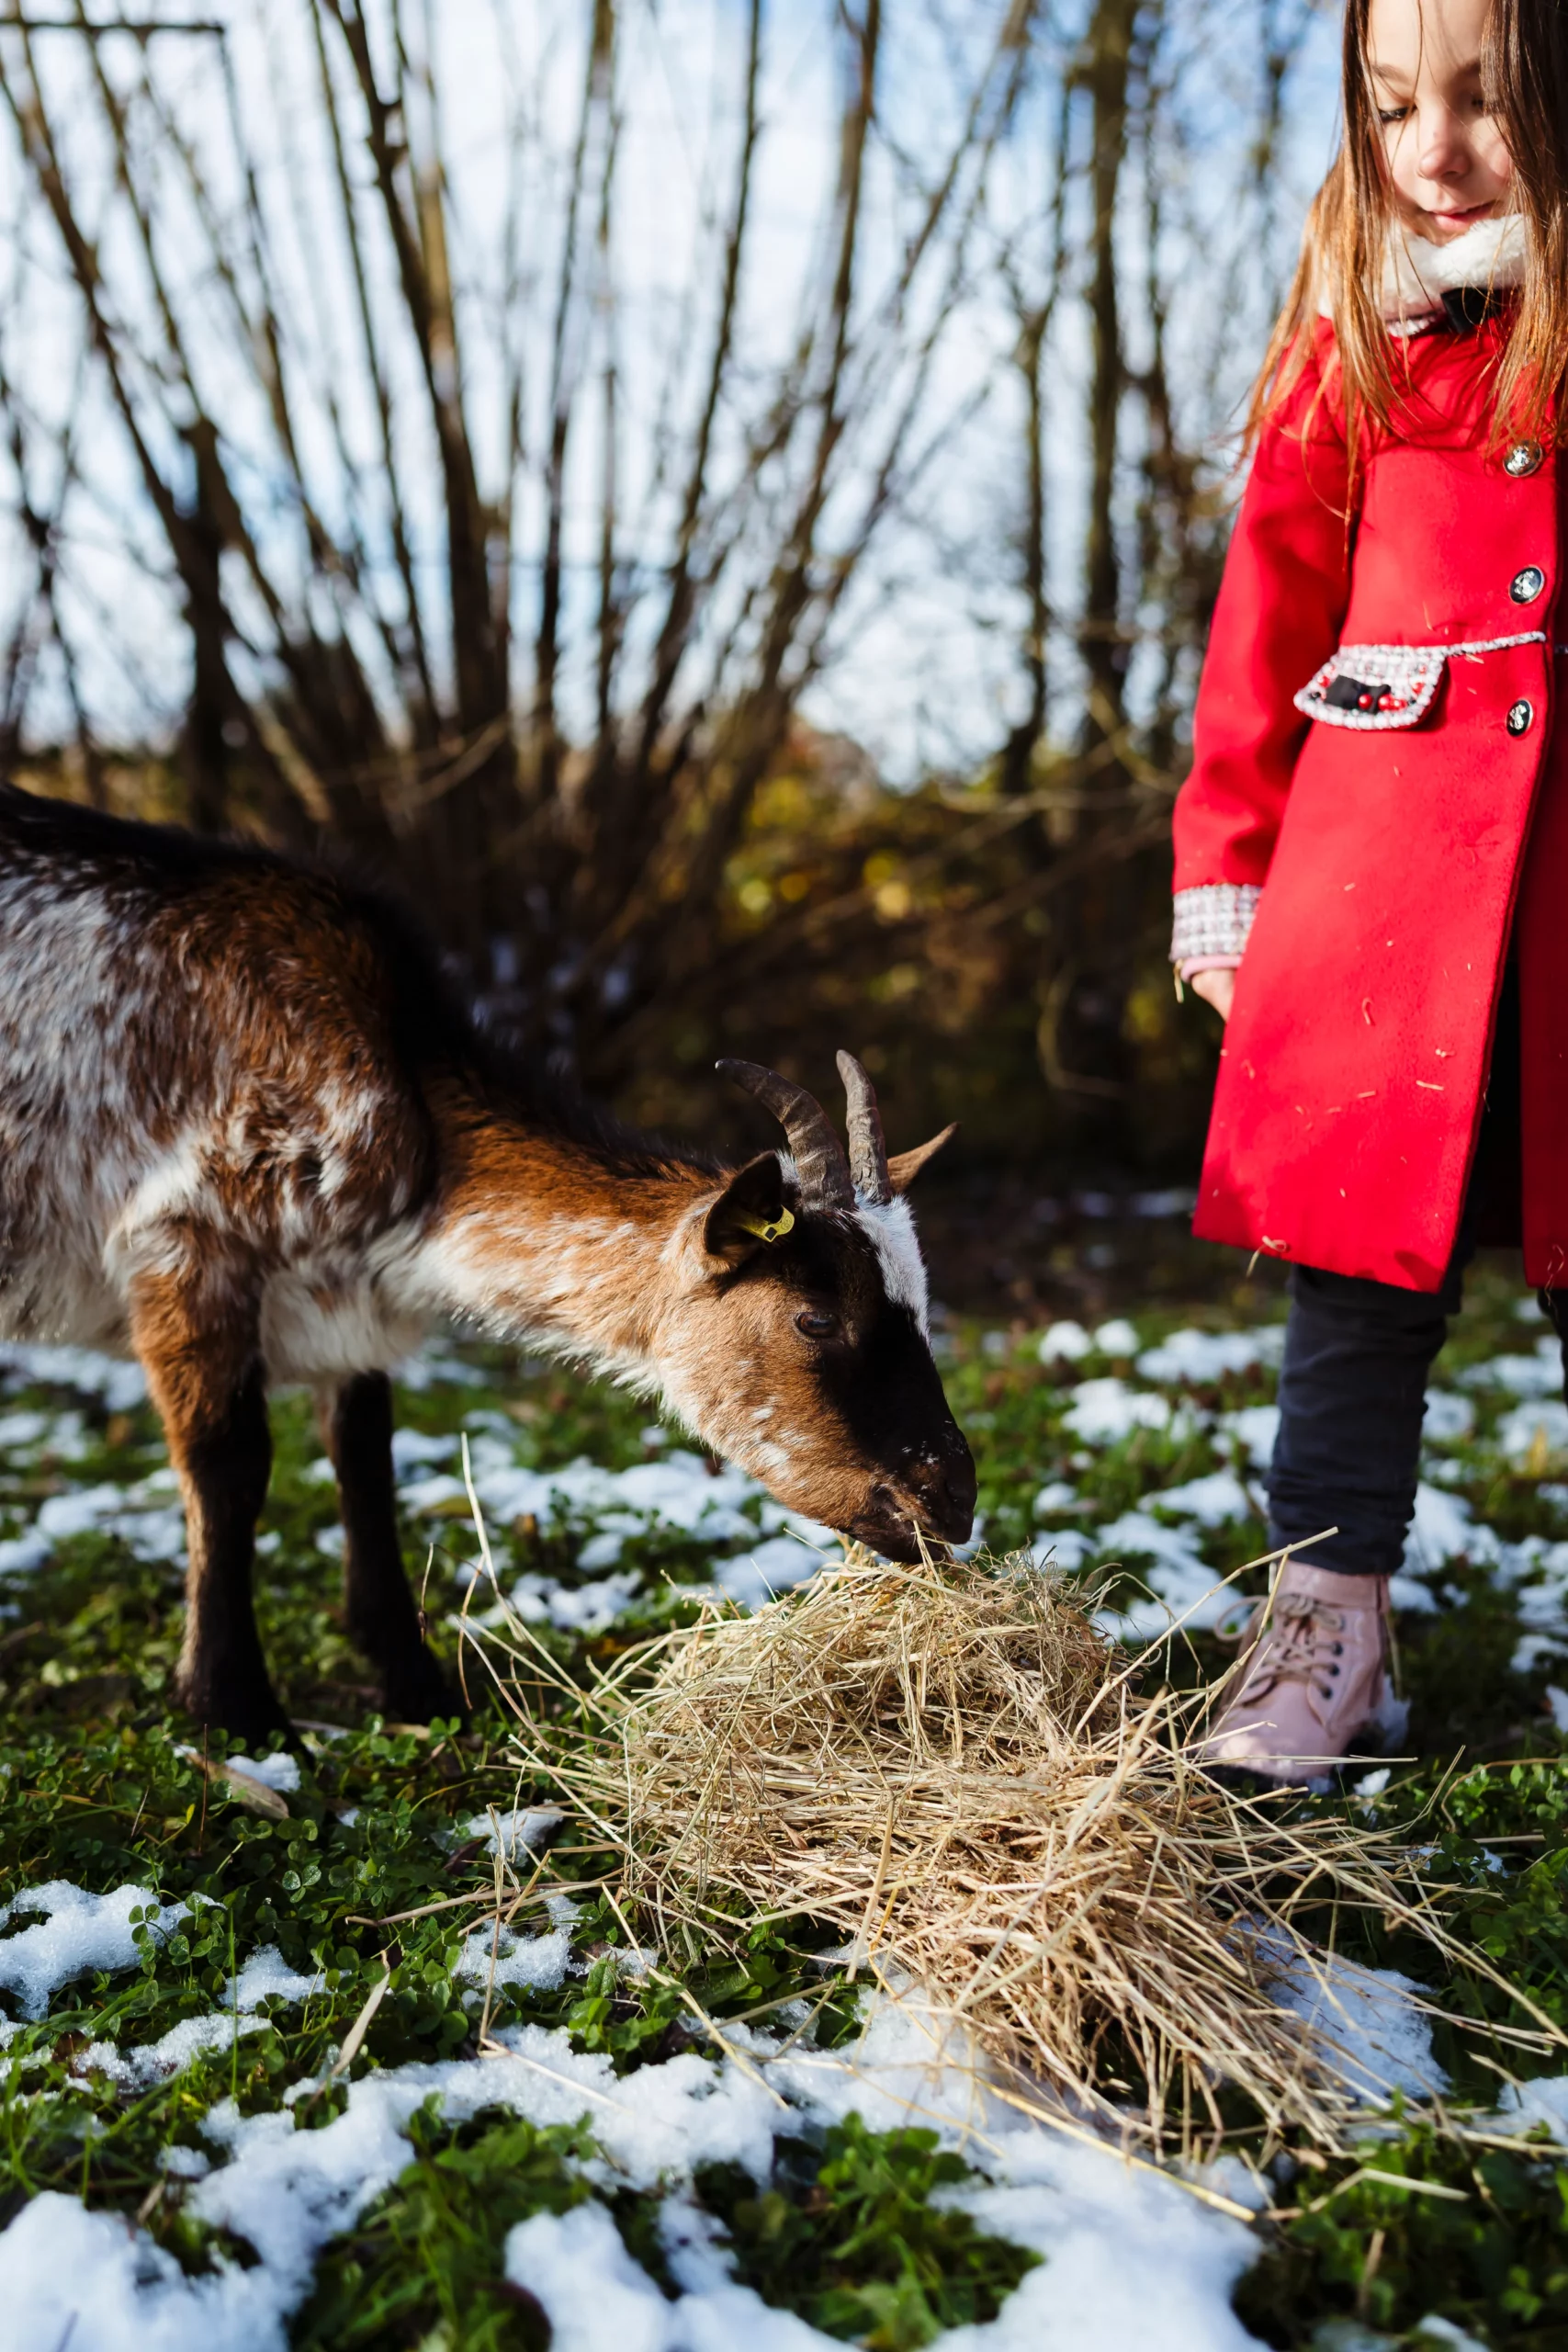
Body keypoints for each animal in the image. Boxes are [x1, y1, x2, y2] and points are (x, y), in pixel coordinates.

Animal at [0, 783, 975, 1736]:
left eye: (923, 1310)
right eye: (814, 1317)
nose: (951, 1500)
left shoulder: (346, 1303)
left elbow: (366, 1461)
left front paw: (413, 1682)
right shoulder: (182, 1247)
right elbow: (227, 1468)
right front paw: (231, 1709)